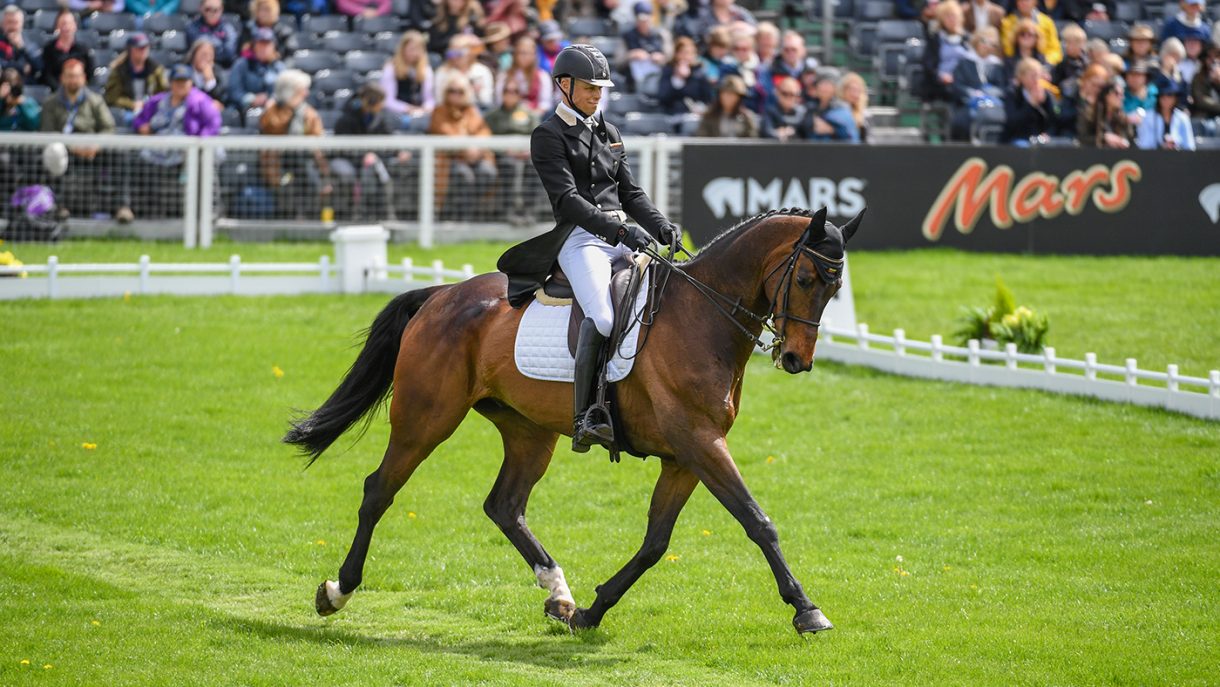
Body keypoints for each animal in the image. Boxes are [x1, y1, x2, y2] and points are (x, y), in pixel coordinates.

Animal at [285, 206, 864, 634]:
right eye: (806, 277)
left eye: (835, 289)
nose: (797, 359)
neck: (700, 316)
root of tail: (441, 295)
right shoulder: (699, 443)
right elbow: (757, 521)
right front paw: (807, 610)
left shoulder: (685, 456)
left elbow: (655, 544)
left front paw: (590, 610)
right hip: (425, 419)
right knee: (379, 489)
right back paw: (337, 591)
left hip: (528, 431)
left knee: (505, 506)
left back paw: (559, 594)